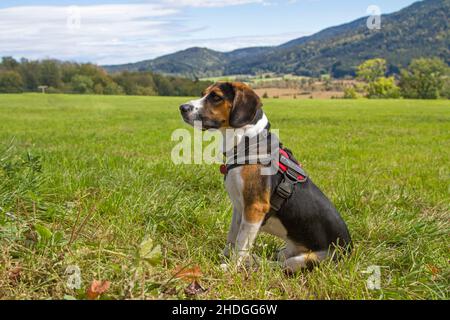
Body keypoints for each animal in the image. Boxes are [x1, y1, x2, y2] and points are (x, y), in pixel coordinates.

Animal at [179, 82, 352, 272]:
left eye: (216, 97)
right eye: (203, 93)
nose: (182, 107)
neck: (248, 142)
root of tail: (349, 251)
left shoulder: (255, 208)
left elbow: (241, 244)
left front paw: (231, 268)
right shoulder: (239, 209)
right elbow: (232, 238)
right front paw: (224, 256)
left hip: (306, 259)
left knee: (280, 266)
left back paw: (255, 261)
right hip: (286, 250)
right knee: (280, 256)